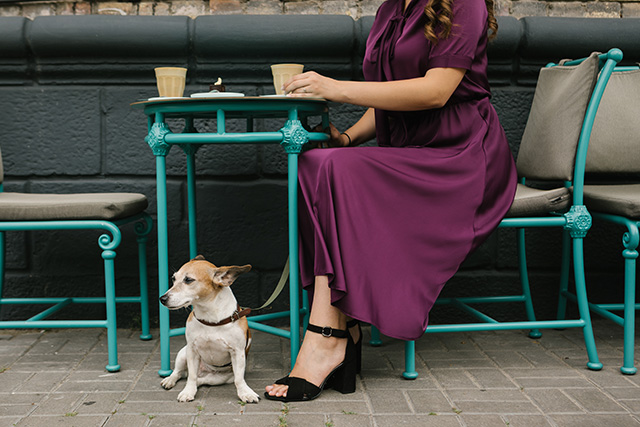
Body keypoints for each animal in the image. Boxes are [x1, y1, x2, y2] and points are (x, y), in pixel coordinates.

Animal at [159, 258, 260, 404]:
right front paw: (188, 391)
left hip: (220, 378)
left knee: (201, 380)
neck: (210, 316)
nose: (162, 299)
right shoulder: (192, 350)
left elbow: (239, 379)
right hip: (183, 353)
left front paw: (245, 393)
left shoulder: (238, 353)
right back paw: (170, 380)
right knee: (180, 372)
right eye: (173, 278)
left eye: (188, 280)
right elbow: (192, 376)